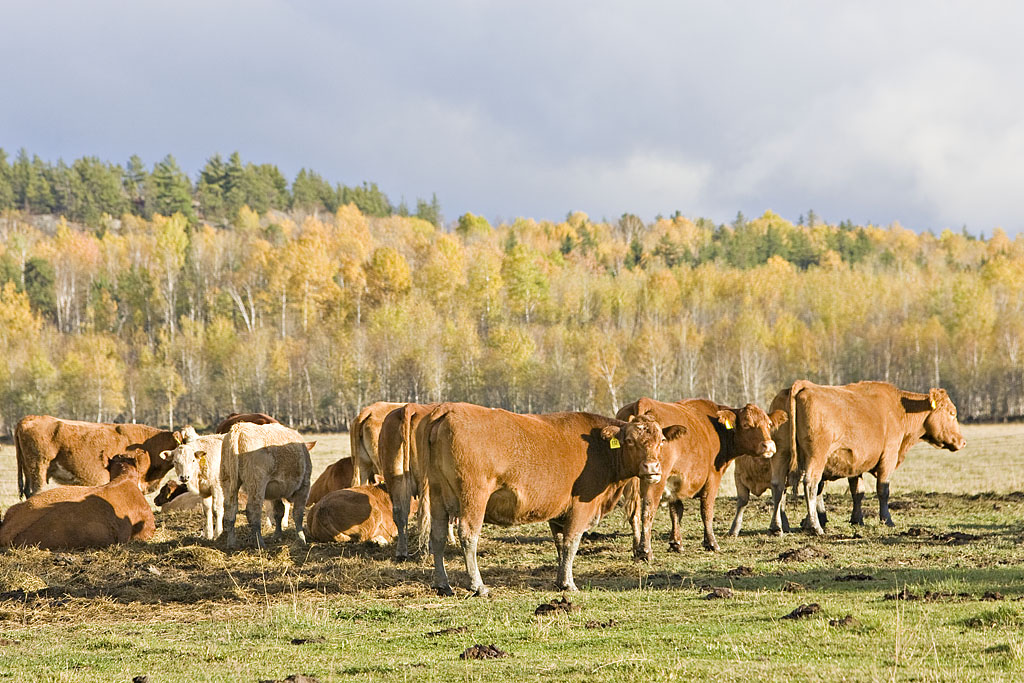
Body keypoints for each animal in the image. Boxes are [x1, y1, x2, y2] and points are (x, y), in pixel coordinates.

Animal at [419, 403, 684, 593]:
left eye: (661, 441)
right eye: (629, 440)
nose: (652, 468)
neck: (599, 448)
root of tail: (448, 409)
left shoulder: (558, 512)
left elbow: (560, 544)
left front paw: (559, 580)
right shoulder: (581, 507)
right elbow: (571, 542)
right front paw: (569, 583)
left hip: (437, 495)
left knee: (438, 537)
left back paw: (442, 584)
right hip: (473, 497)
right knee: (468, 535)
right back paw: (478, 585)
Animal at [614, 397, 782, 557]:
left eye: (768, 424)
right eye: (747, 424)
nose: (768, 445)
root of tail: (642, 402)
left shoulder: (674, 480)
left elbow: (676, 511)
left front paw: (676, 543)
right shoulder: (713, 478)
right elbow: (706, 510)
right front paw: (711, 543)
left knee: (634, 514)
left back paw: (636, 548)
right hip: (654, 479)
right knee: (647, 511)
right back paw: (645, 551)